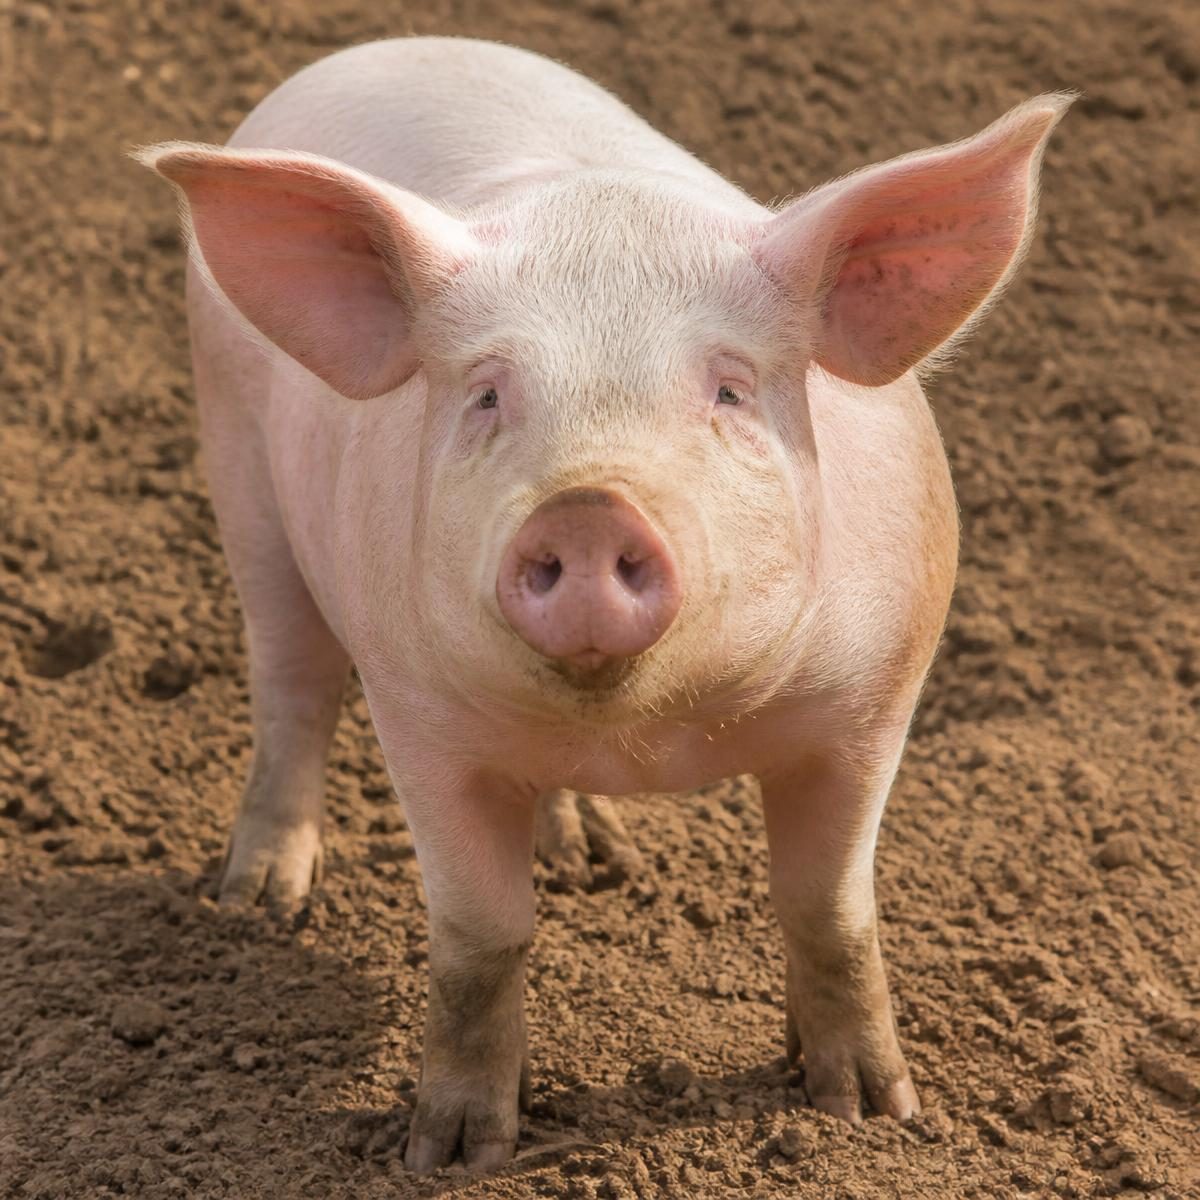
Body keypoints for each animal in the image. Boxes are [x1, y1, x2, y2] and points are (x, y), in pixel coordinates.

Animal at [137, 36, 1069, 1171]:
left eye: (729, 391)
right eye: (488, 394)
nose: (585, 507)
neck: (645, 737)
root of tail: (378, 47)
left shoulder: (875, 696)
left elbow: (827, 911)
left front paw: (870, 1111)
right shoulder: (420, 717)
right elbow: (482, 939)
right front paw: (452, 1155)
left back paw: (586, 856)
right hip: (238, 466)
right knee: (293, 685)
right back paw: (257, 905)